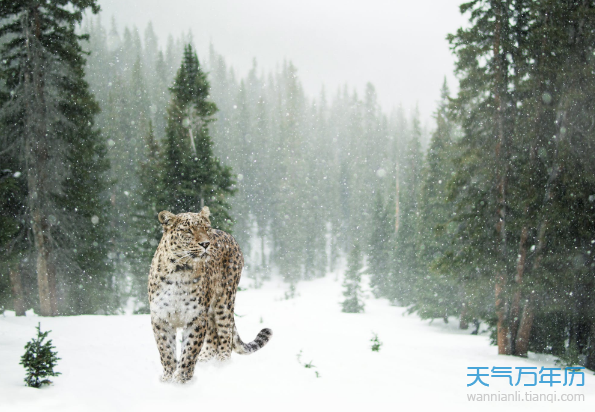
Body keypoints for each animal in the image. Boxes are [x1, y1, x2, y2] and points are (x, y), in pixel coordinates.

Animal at [149, 206, 272, 384]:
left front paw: (181, 381)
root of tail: (228, 235)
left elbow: (189, 351)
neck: (179, 270)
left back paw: (221, 366)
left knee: (225, 336)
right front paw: (167, 379)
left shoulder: (196, 317)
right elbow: (166, 351)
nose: (206, 243)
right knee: (213, 337)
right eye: (188, 230)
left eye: (206, 228)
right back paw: (205, 361)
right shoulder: (161, 318)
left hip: (224, 302)